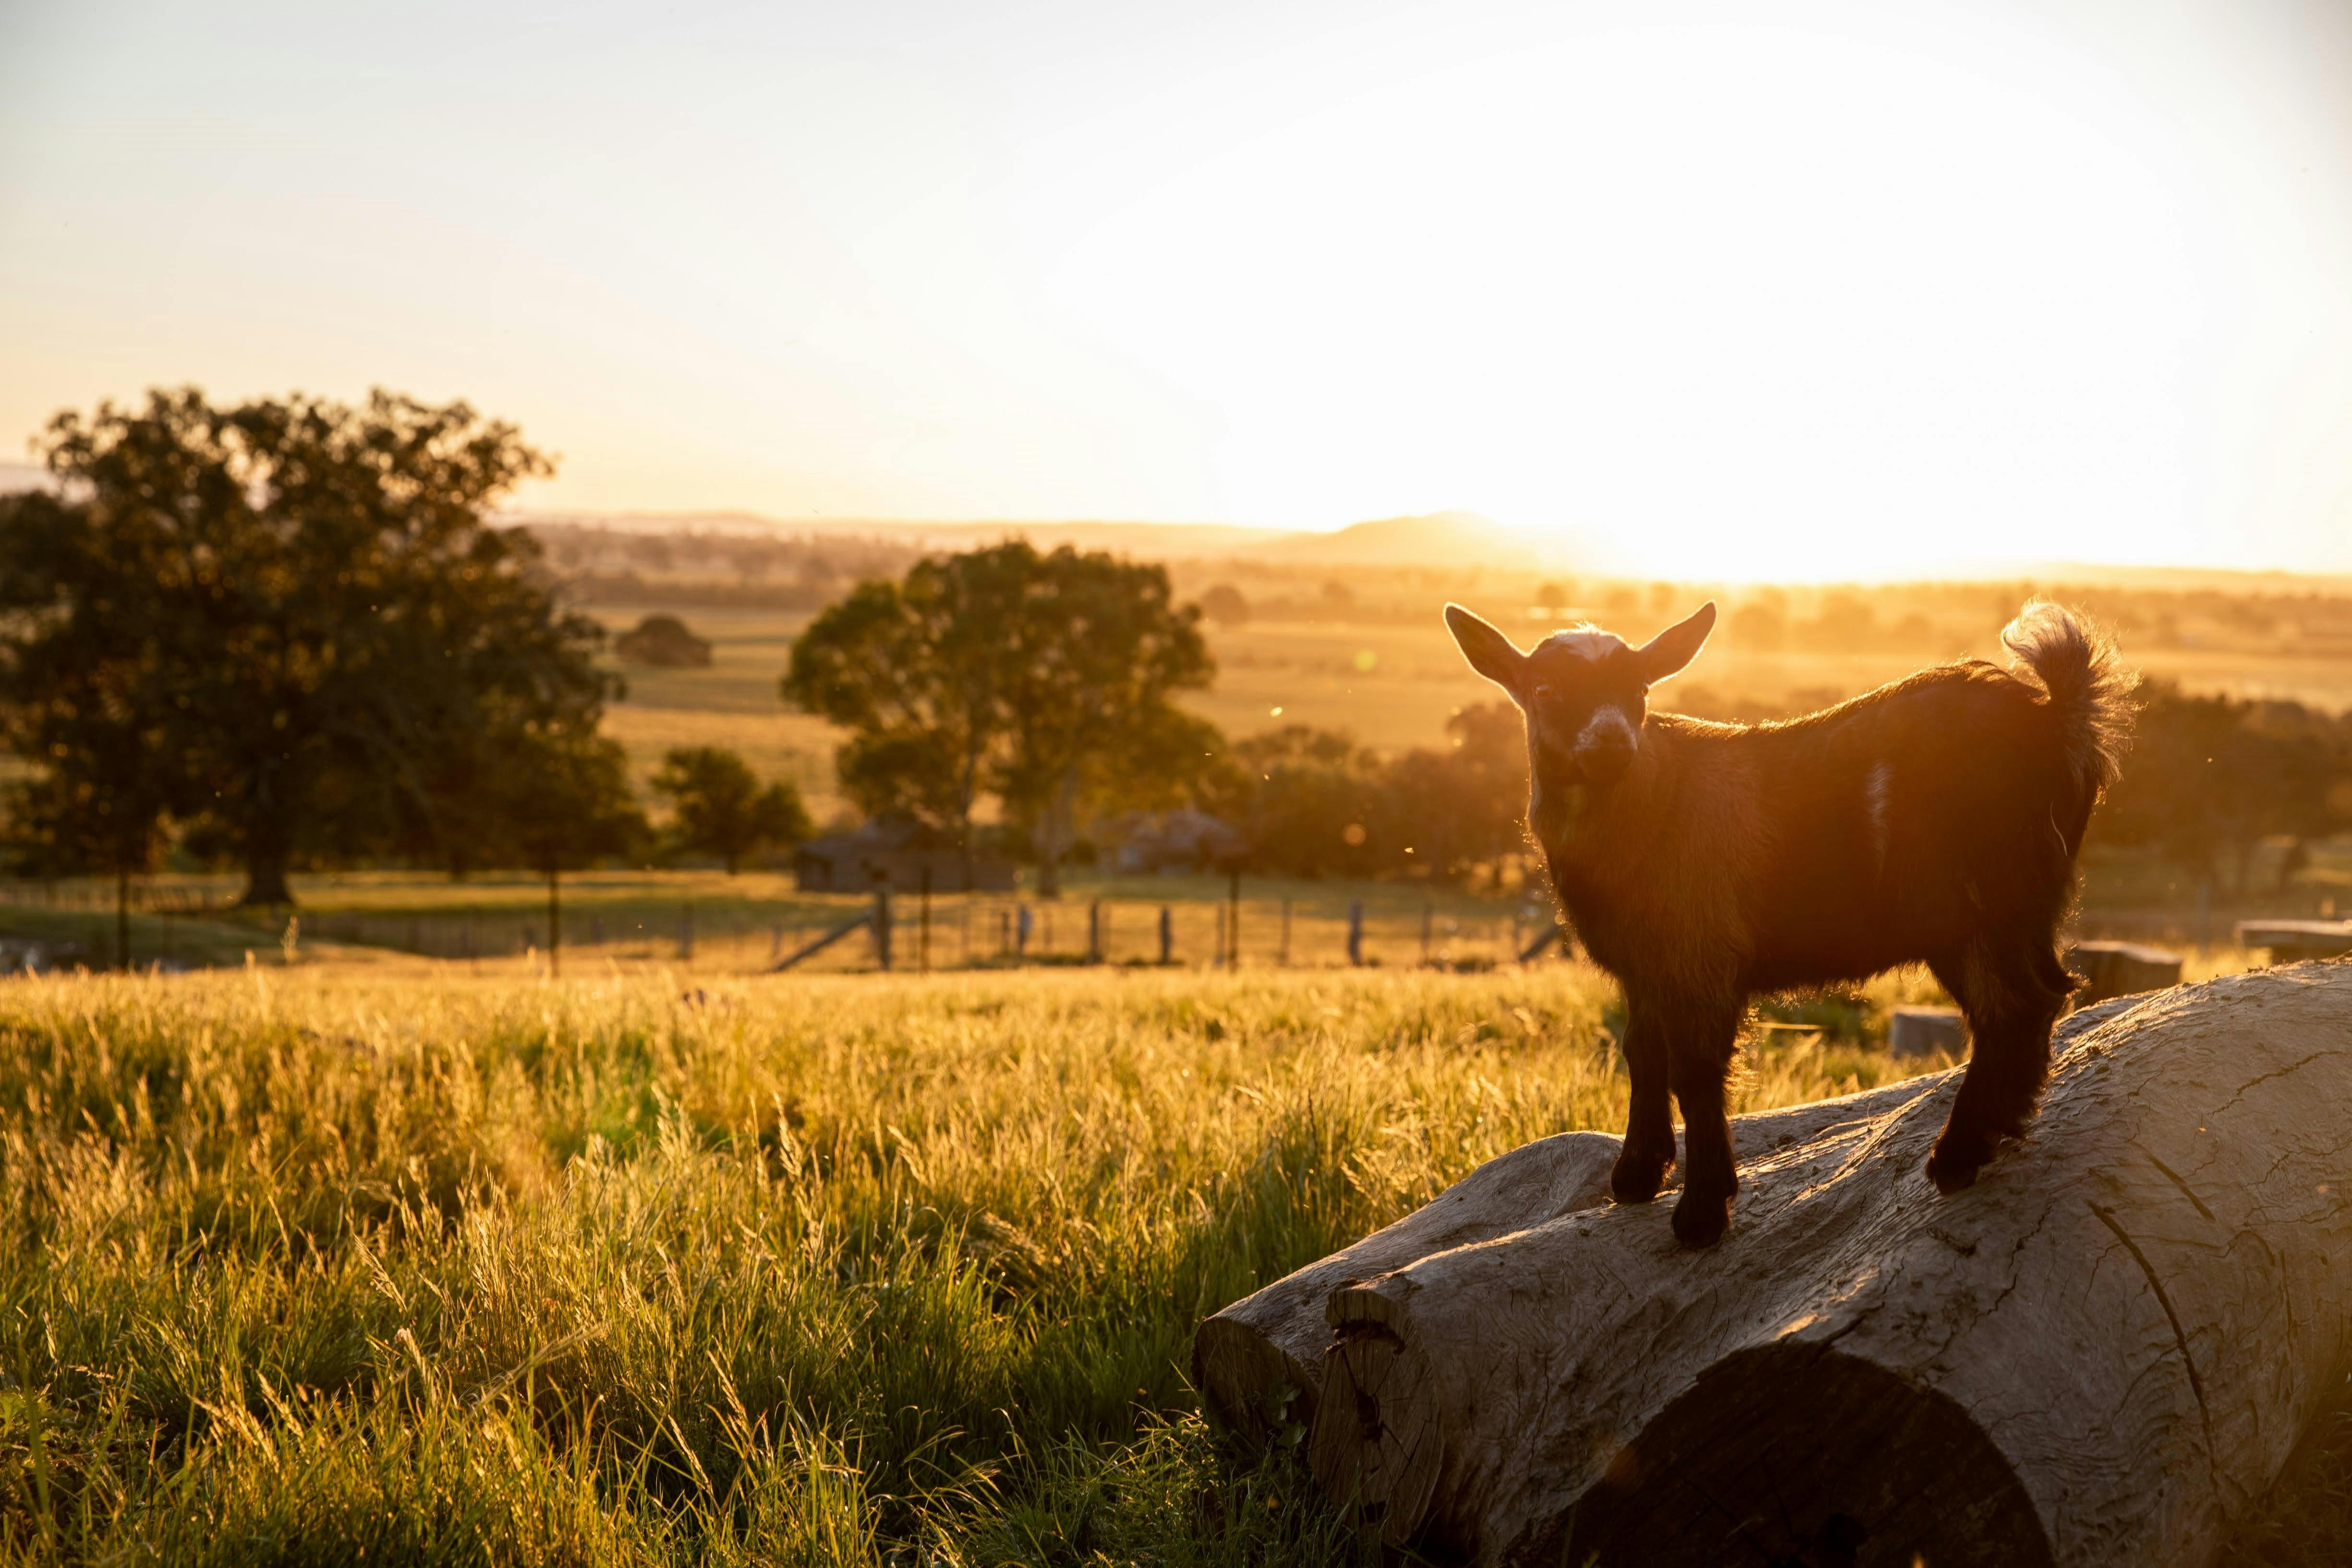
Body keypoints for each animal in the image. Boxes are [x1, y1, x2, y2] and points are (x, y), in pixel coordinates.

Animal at [1447, 599, 2134, 1246]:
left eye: (1639, 689)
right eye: (1543, 689)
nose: (1614, 743)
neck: (1652, 801)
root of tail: (2055, 715)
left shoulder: (1701, 952)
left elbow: (1694, 1068)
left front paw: (1701, 1214)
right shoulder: (1646, 966)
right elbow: (1642, 1052)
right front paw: (1637, 1177)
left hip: (1983, 905)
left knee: (2012, 1008)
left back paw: (1956, 1157)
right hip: (2018, 911)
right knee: (2040, 1000)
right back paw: (2000, 1131)